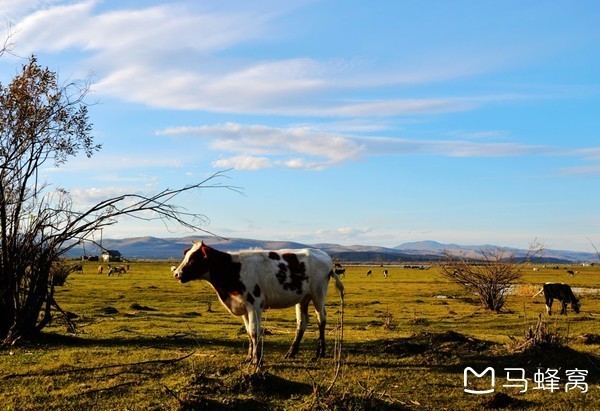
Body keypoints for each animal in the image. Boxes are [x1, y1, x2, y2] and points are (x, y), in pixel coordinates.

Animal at [171, 243, 344, 366]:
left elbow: (255, 332)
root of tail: (323, 255)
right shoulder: (243, 307)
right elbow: (249, 332)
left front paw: (256, 360)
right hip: (302, 298)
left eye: (194, 259)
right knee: (302, 323)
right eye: (186, 256)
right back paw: (291, 352)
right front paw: (249, 357)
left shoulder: (255, 304)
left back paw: (320, 353)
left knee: (321, 319)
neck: (233, 268)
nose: (177, 274)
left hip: (318, 294)